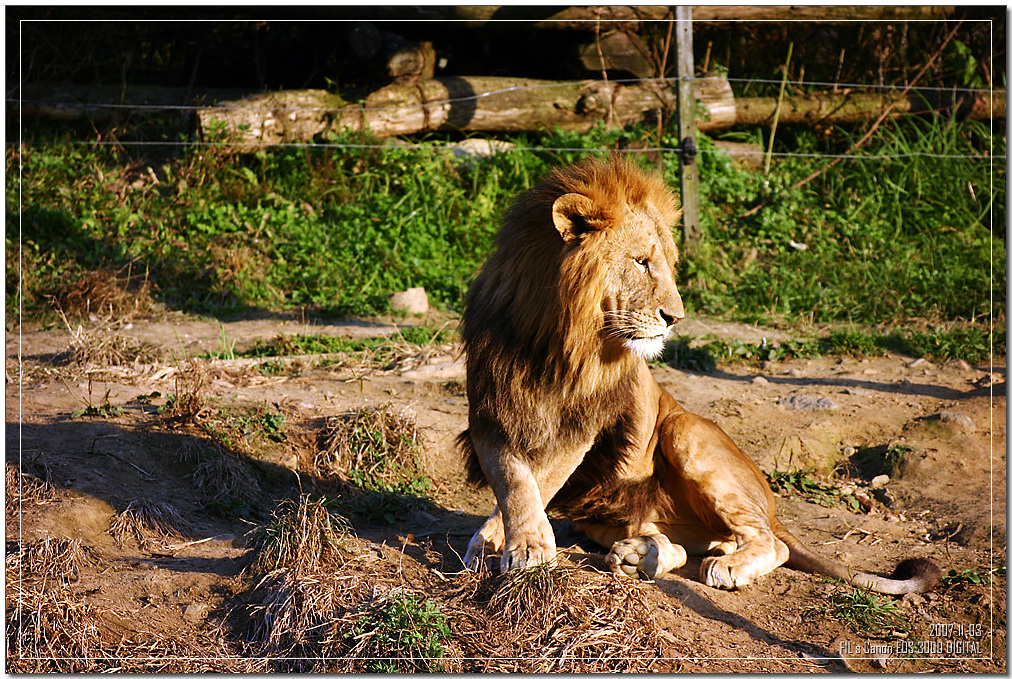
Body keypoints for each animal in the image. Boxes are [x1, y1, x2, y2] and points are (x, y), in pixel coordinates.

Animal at [459, 155, 939, 595]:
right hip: (610, 518)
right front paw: (500, 544)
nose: (676, 318)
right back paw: (641, 555)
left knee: (769, 543)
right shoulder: (489, 413)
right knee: (693, 543)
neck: (553, 339)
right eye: (641, 262)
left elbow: (539, 481)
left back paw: (721, 566)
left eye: (666, 264)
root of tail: (773, 506)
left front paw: (523, 548)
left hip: (686, 430)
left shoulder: (582, 427)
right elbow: (515, 482)